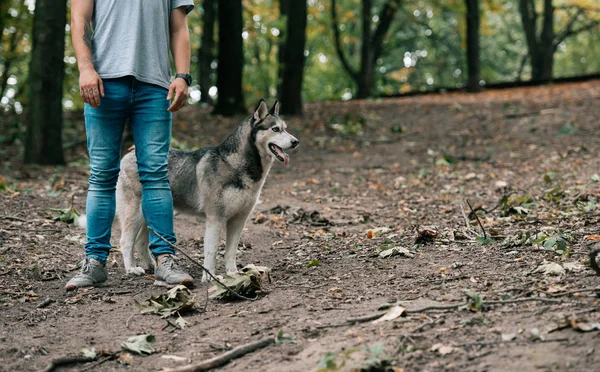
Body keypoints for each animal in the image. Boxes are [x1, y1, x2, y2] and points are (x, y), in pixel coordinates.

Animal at [115, 100, 298, 280]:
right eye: (275, 129)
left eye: (285, 128)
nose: (295, 141)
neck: (234, 165)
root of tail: (130, 154)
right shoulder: (215, 219)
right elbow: (211, 251)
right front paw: (210, 277)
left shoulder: (239, 220)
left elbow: (231, 251)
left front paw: (233, 273)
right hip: (135, 214)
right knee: (125, 241)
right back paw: (132, 269)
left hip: (150, 215)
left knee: (140, 242)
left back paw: (152, 266)